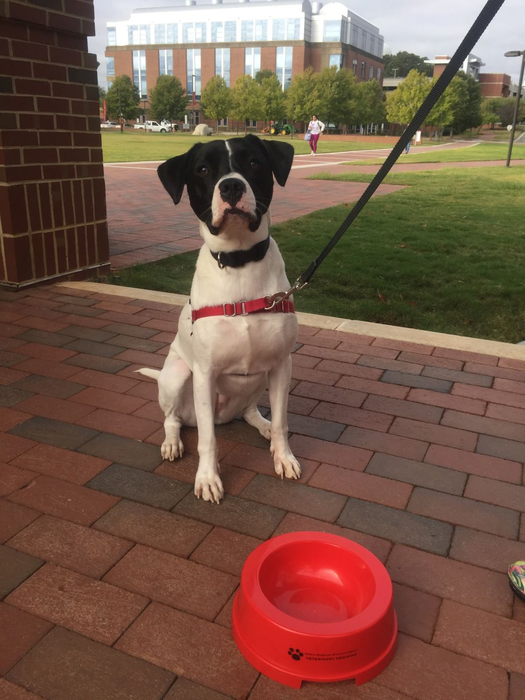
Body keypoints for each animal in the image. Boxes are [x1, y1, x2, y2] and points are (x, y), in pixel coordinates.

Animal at [139, 133, 300, 504]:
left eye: (253, 162)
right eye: (202, 170)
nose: (230, 186)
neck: (240, 264)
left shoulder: (281, 364)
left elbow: (282, 421)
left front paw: (283, 457)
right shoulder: (204, 373)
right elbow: (208, 440)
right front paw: (208, 479)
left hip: (260, 379)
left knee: (250, 411)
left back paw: (263, 426)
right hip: (177, 376)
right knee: (173, 419)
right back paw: (172, 443)